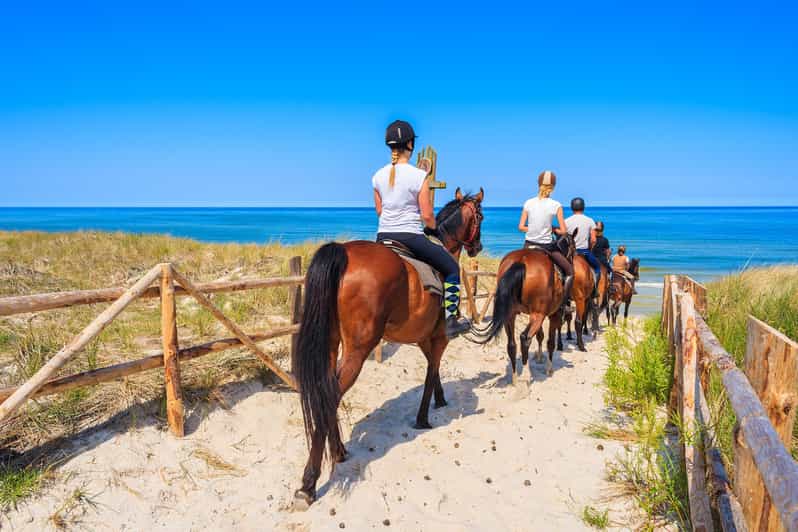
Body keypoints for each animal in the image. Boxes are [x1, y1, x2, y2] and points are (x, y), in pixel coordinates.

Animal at [292, 187, 484, 508]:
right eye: (480, 217)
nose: (478, 246)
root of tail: (344, 253)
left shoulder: (424, 338)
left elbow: (434, 371)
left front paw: (440, 399)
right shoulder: (439, 337)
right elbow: (431, 372)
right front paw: (423, 418)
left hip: (331, 344)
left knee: (326, 393)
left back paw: (339, 452)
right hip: (358, 349)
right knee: (331, 396)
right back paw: (308, 483)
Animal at [474, 230, 577, 380]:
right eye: (574, 249)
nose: (572, 262)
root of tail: (521, 261)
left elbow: (540, 335)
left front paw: (539, 357)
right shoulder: (553, 314)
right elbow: (550, 342)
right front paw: (549, 369)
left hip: (511, 315)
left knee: (512, 344)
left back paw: (515, 378)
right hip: (538, 315)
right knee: (525, 338)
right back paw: (526, 376)